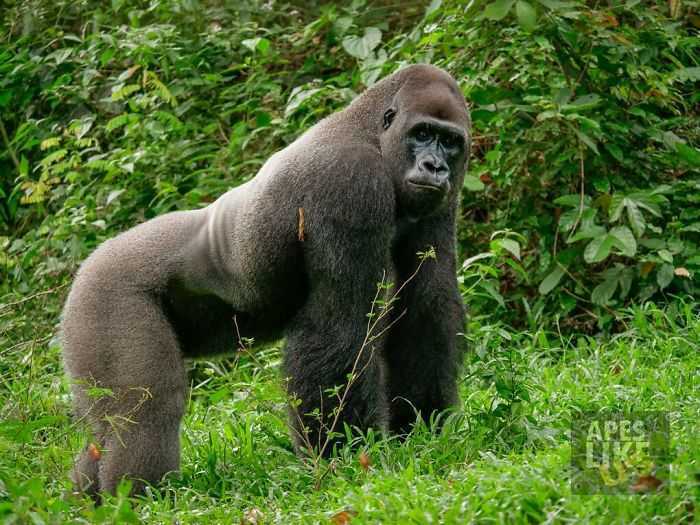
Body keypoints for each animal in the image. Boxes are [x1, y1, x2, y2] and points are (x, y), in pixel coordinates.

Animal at [61, 63, 470, 494]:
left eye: (450, 142)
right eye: (421, 134)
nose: (435, 167)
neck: (372, 132)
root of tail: (89, 263)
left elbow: (426, 305)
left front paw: (420, 426)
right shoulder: (349, 181)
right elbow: (341, 326)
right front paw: (344, 456)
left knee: (104, 430)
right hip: (105, 294)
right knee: (146, 412)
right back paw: (143, 498)